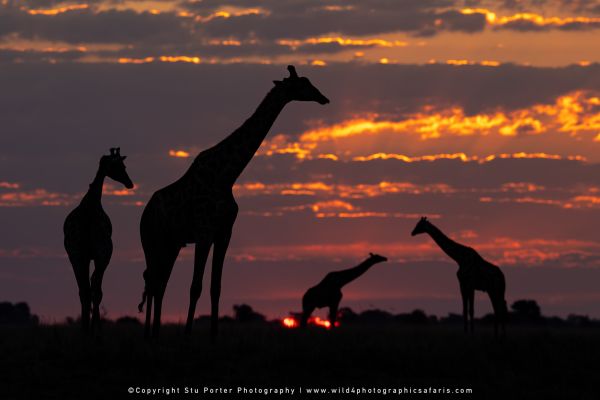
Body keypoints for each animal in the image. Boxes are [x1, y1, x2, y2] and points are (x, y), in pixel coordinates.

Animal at [63, 148, 133, 332]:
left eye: (123, 165)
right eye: (118, 166)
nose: (129, 183)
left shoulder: (83, 256)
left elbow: (88, 289)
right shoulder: (103, 255)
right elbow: (97, 290)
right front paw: (97, 330)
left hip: (77, 256)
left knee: (84, 291)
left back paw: (85, 331)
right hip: (100, 255)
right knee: (94, 290)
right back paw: (93, 331)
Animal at [138, 65, 330, 340]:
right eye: (302, 84)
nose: (323, 98)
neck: (227, 176)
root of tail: (144, 214)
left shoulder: (224, 233)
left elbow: (215, 287)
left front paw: (213, 337)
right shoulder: (205, 232)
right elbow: (195, 286)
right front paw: (187, 336)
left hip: (171, 244)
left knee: (159, 283)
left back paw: (154, 334)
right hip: (151, 241)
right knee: (152, 281)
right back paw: (148, 335)